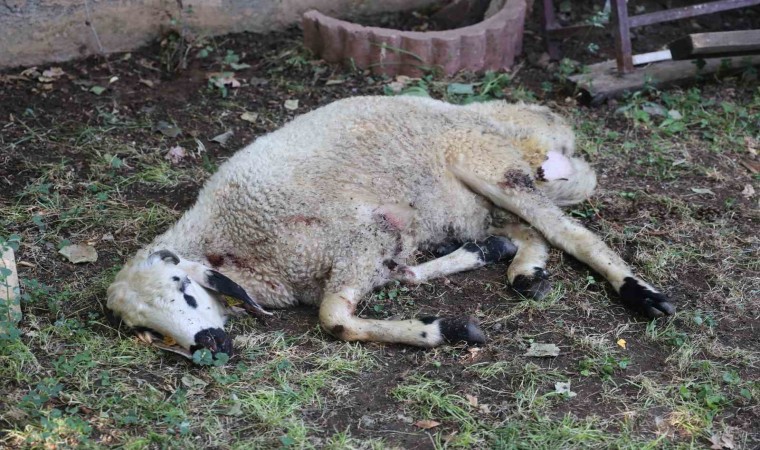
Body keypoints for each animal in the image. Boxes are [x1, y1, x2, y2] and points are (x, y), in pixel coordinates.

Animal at [106, 95, 675, 358]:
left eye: (184, 290)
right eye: (146, 331)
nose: (211, 344)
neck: (234, 239)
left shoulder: (362, 237)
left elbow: (333, 320)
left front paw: (445, 329)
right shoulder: (371, 243)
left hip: (484, 163)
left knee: (568, 232)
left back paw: (643, 294)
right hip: (463, 206)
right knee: (528, 232)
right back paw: (518, 267)